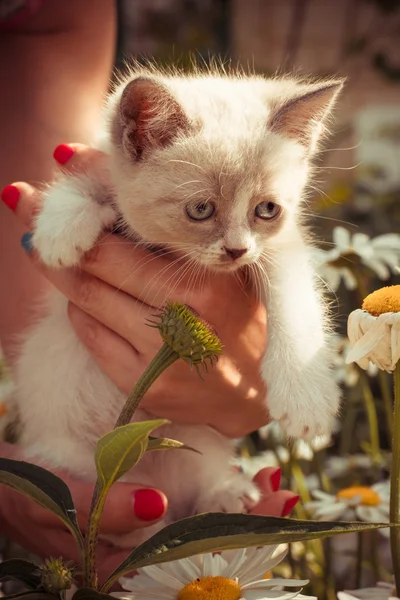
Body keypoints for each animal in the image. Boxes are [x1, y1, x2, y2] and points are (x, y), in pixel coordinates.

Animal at [14, 64, 342, 544]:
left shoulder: (280, 249)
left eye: (266, 209)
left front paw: (306, 400)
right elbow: (87, 180)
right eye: (201, 209)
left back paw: (224, 495)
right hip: (72, 459)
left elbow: (296, 304)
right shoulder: (101, 159)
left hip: (195, 446)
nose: (237, 251)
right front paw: (60, 229)